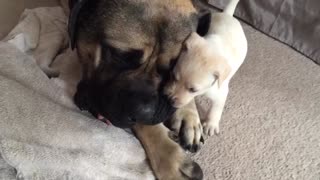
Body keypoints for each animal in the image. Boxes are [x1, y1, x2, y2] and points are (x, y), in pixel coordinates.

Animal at [165, 0, 248, 136]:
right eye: (173, 76)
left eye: (193, 90)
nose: (168, 99)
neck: (213, 48)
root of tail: (228, 15)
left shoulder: (220, 93)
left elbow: (216, 109)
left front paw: (211, 125)